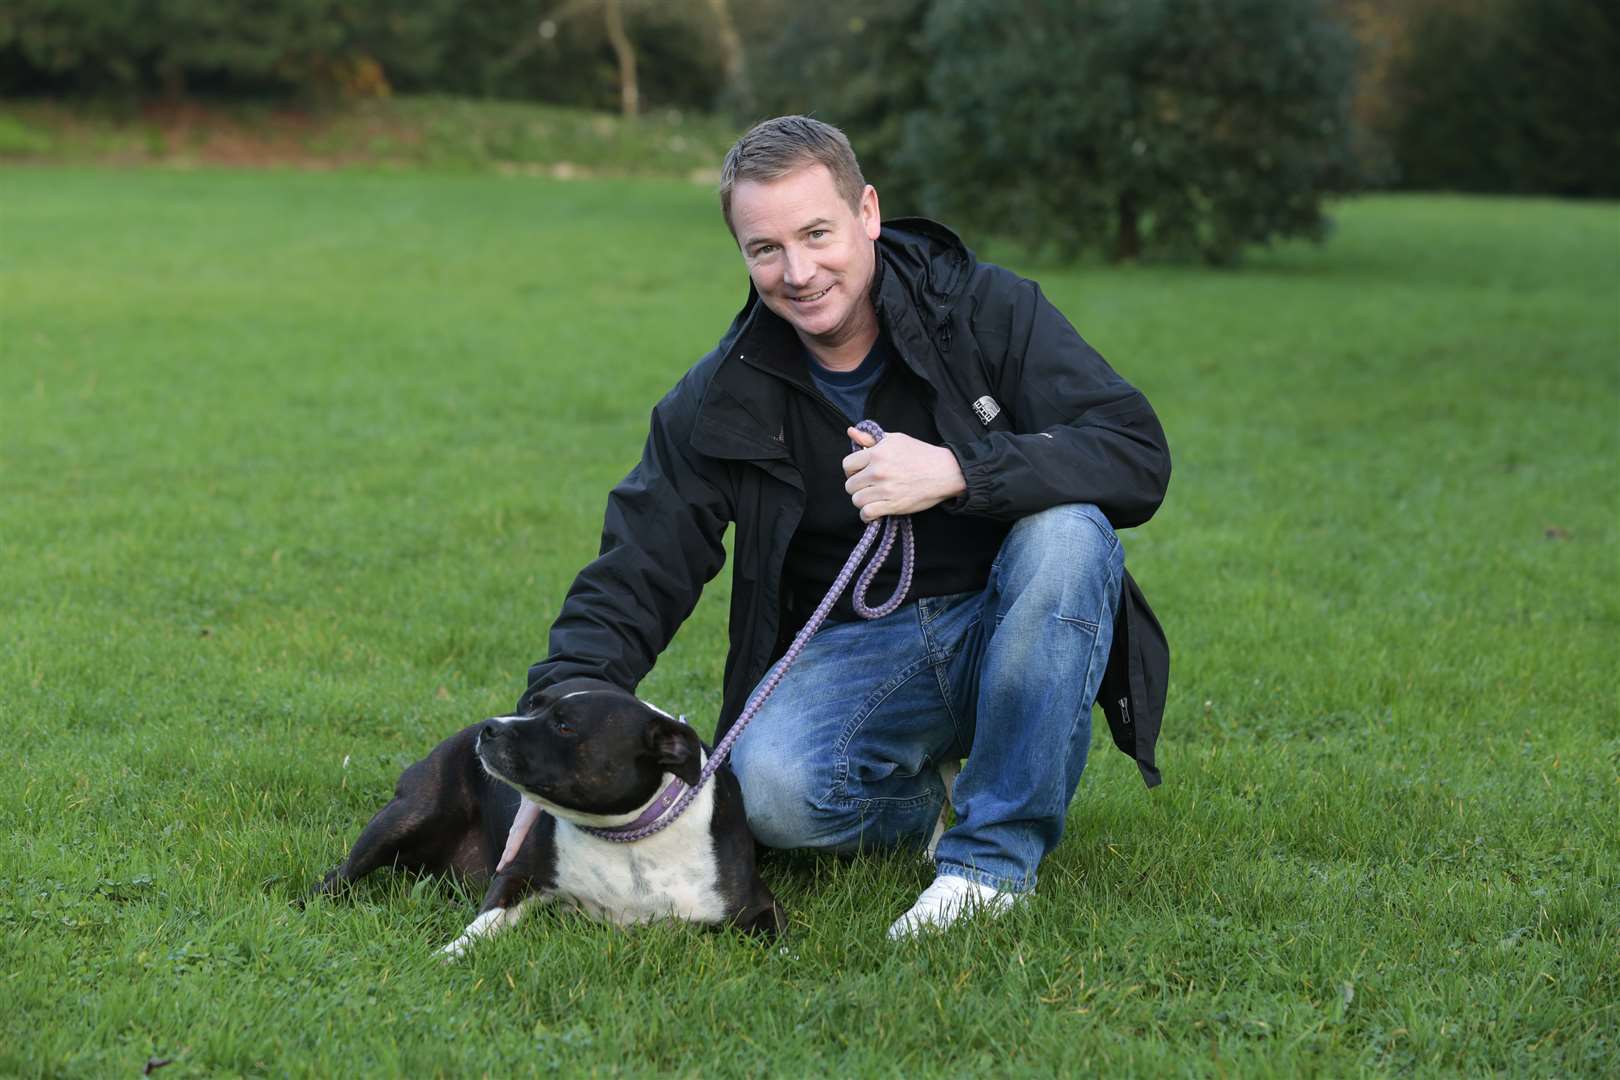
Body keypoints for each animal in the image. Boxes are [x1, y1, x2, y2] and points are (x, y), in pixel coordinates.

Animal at [307, 680, 784, 958]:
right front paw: (449, 953)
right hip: (406, 816)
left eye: (565, 726)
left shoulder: (759, 907)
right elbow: (481, 925)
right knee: (338, 877)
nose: (490, 726)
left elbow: (778, 947)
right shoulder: (517, 878)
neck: (627, 838)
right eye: (533, 704)